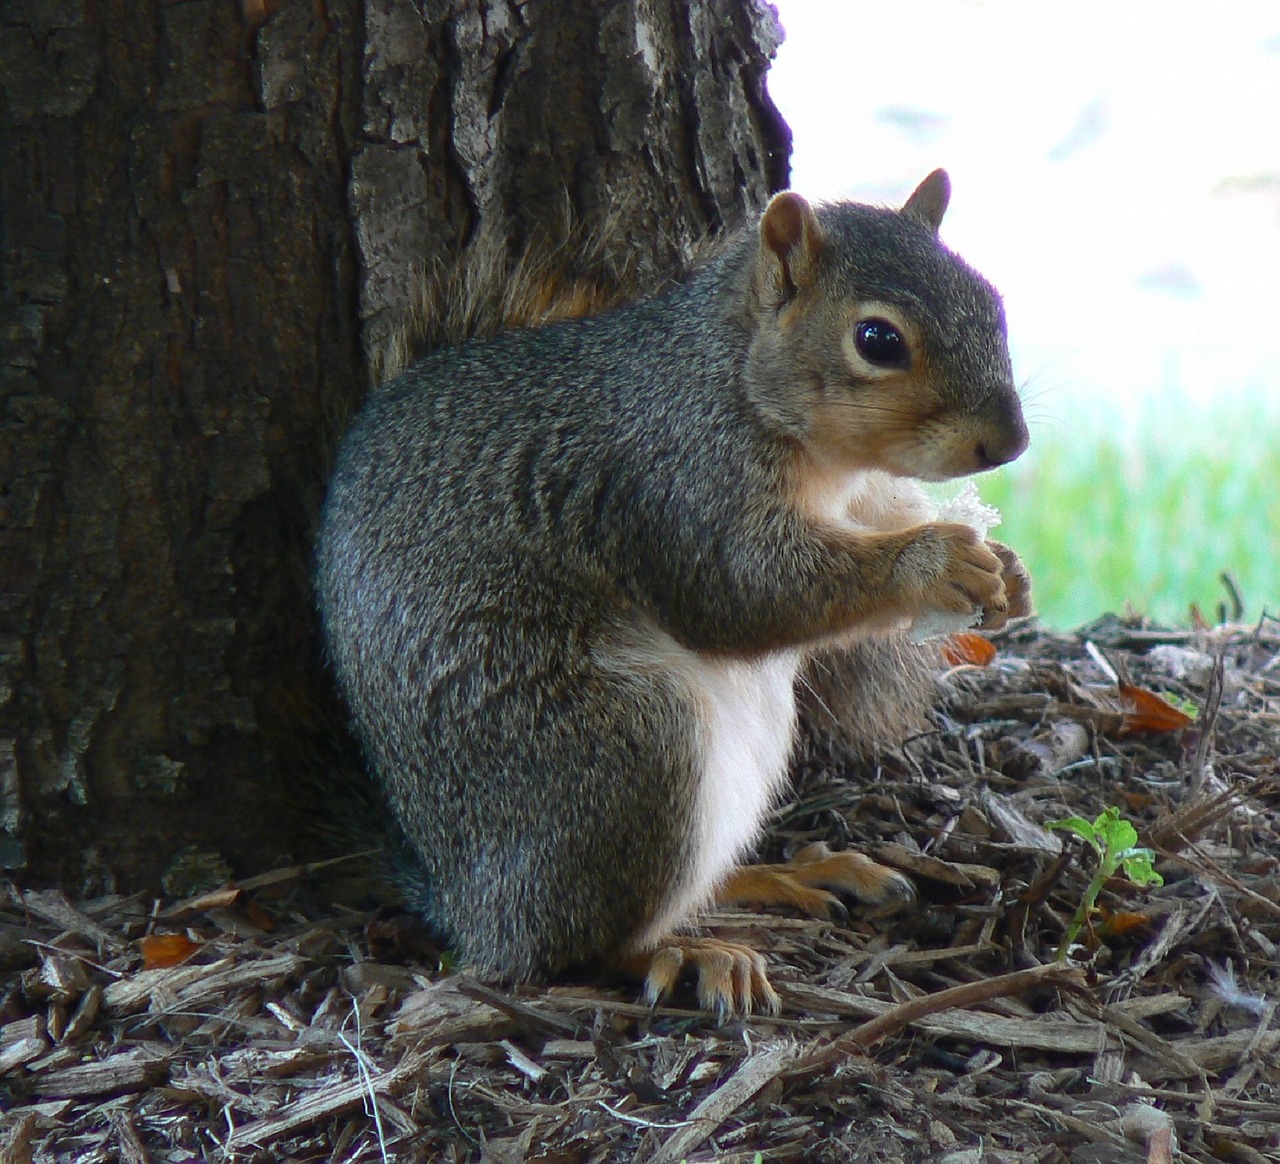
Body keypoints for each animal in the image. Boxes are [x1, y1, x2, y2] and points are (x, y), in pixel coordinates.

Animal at [317, 167, 1029, 1014]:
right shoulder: (678, 480)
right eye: (877, 340)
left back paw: (793, 874)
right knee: (569, 948)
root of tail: (463, 899)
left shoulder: (858, 501)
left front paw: (1009, 571)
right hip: (622, 755)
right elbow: (747, 593)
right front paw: (933, 564)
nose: (1011, 442)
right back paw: (682, 952)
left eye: (991, 301)